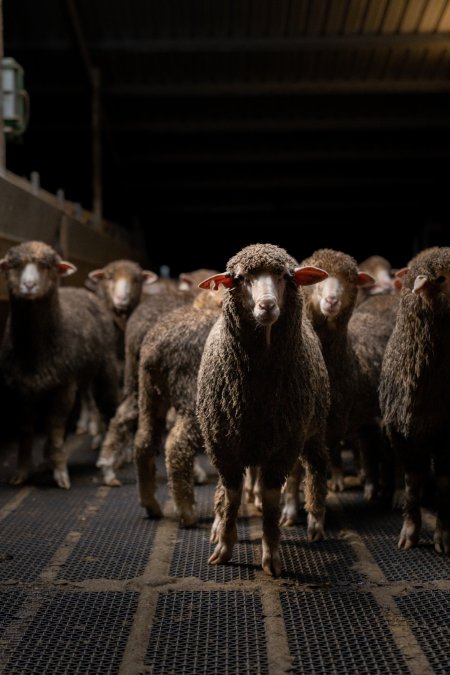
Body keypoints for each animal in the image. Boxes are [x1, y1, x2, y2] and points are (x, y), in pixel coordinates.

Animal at [0, 243, 119, 492]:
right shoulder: (23, 390)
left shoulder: (64, 386)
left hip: (106, 366)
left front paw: (61, 473)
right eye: (14, 265)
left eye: (47, 267)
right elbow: (26, 430)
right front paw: (22, 472)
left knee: (110, 405)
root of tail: (82, 291)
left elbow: (55, 428)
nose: (29, 285)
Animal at [135, 288, 223, 524]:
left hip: (149, 396)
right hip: (191, 398)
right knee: (177, 447)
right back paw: (186, 511)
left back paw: (151, 504)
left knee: (143, 441)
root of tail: (154, 351)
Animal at [195, 246, 328, 580]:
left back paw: (315, 522)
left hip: (312, 429)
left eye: (284, 276)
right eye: (240, 278)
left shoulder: (284, 445)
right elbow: (231, 498)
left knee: (314, 469)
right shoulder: (222, 445)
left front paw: (271, 557)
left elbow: (269, 503)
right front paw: (223, 547)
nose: (267, 305)